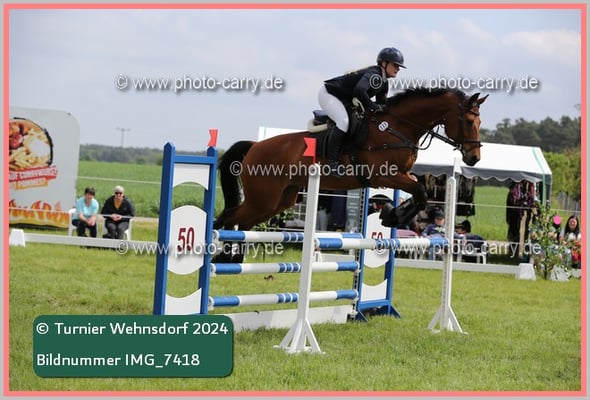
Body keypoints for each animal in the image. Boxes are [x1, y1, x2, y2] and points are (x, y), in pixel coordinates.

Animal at [214, 87, 488, 261]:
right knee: (231, 216)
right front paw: (393, 217)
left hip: (280, 200)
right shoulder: (384, 175)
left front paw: (391, 215)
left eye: (479, 122)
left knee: (243, 224)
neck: (396, 128)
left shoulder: (402, 174)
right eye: (467, 121)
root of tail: (254, 146)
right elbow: (420, 191)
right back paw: (219, 253)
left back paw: (231, 258)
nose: (473, 158)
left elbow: (420, 194)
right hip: (264, 197)